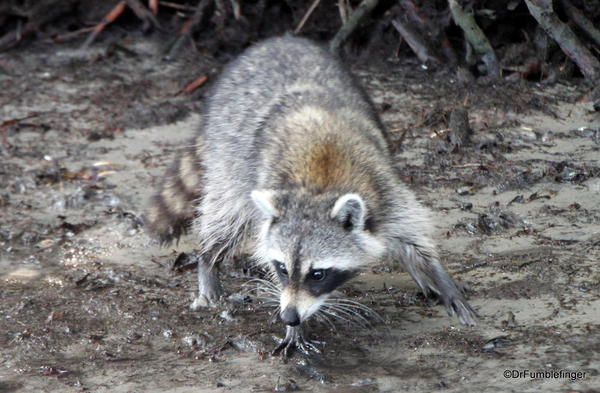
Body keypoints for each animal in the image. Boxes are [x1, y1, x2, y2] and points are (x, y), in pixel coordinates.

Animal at [144, 35, 474, 354]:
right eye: (282, 268)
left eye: (318, 274)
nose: (289, 316)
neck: (318, 188)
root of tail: (277, 40)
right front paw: (295, 328)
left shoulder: (383, 189)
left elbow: (411, 234)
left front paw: (438, 275)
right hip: (230, 154)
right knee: (227, 214)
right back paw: (209, 261)